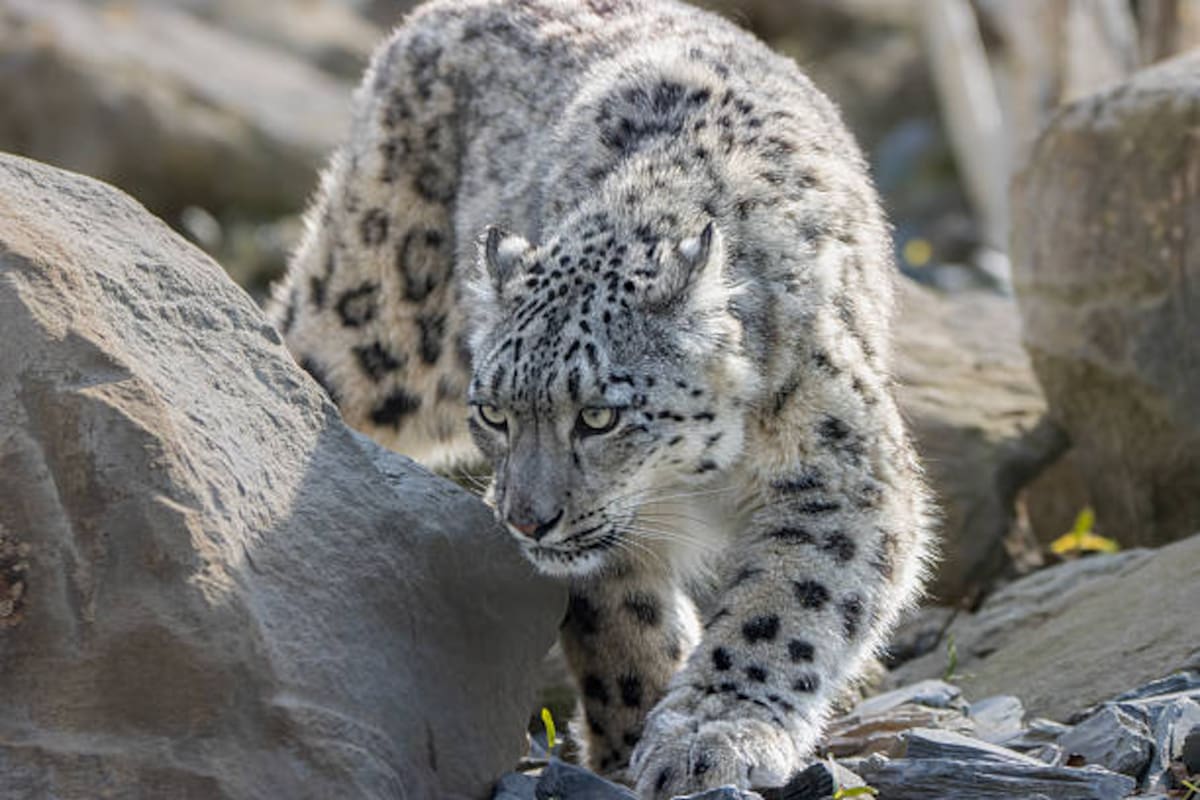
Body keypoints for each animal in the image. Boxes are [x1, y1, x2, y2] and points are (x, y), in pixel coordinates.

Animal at [267, 0, 935, 796]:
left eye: (598, 415)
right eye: (494, 412)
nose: (526, 521)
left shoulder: (839, 469)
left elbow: (784, 608)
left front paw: (710, 735)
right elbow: (620, 617)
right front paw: (634, 735)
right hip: (376, 322)